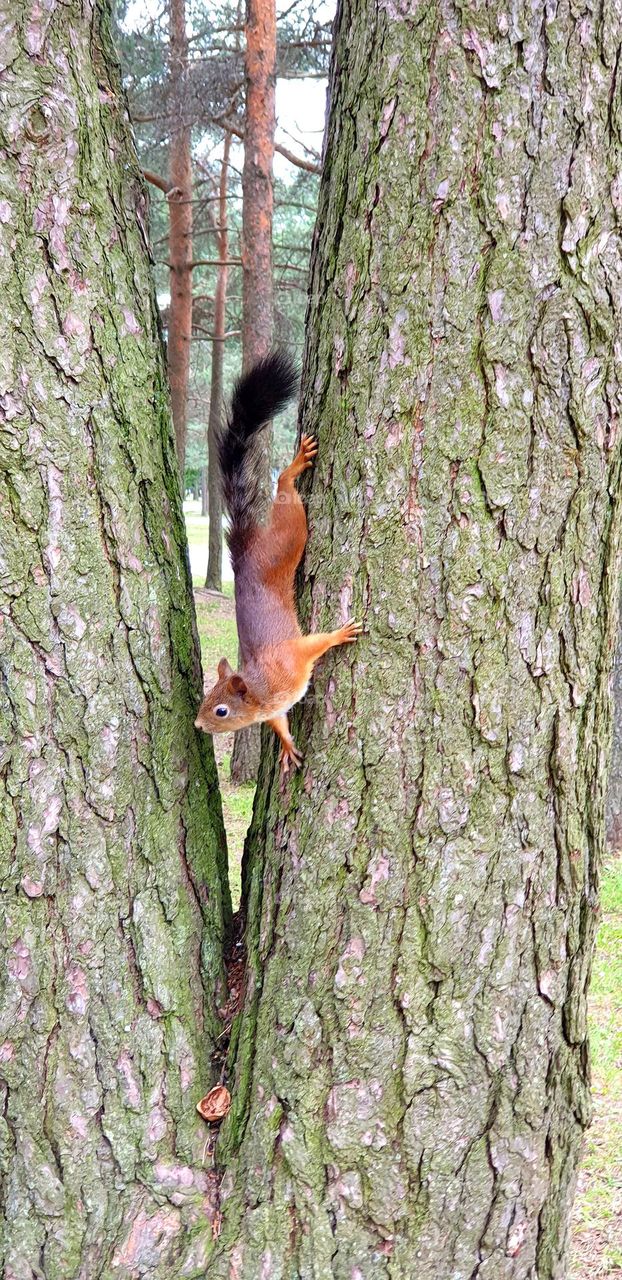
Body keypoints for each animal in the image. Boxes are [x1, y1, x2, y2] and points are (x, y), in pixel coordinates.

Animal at [194, 351, 362, 772]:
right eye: (206, 698)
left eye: (221, 710)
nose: (198, 725)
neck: (263, 688)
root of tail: (244, 552)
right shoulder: (274, 709)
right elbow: (280, 724)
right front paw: (286, 746)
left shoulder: (294, 657)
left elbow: (316, 642)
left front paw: (340, 633)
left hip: (288, 537)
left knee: (285, 489)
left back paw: (293, 468)